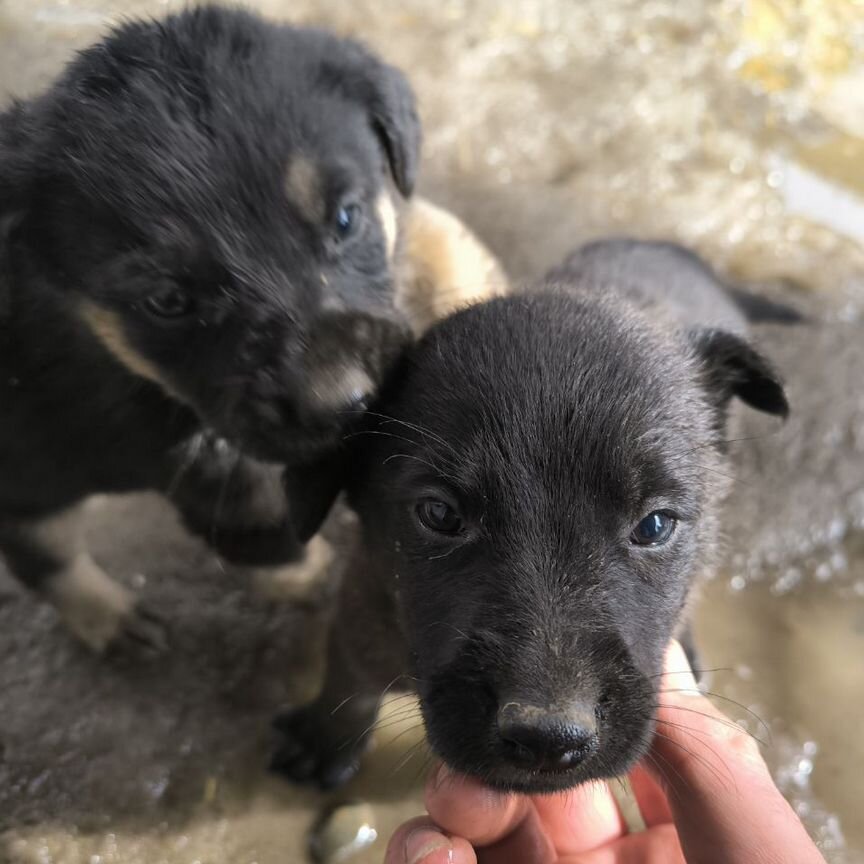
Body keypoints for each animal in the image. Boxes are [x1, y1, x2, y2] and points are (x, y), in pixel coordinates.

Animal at [272, 240, 788, 792]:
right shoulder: (364, 603)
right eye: (439, 514)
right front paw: (323, 741)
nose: (549, 740)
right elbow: (347, 678)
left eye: (654, 525)